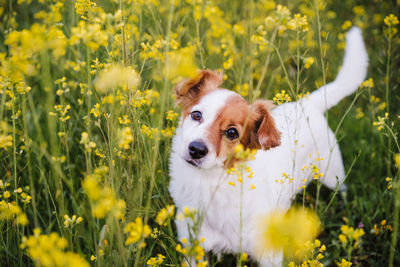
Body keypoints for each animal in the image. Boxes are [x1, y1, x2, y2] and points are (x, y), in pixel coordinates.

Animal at [169, 26, 368, 266]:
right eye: (196, 115)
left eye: (232, 133)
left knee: (343, 190)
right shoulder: (192, 245)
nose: (196, 149)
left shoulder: (268, 252)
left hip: (333, 175)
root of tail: (306, 104)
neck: (210, 183)